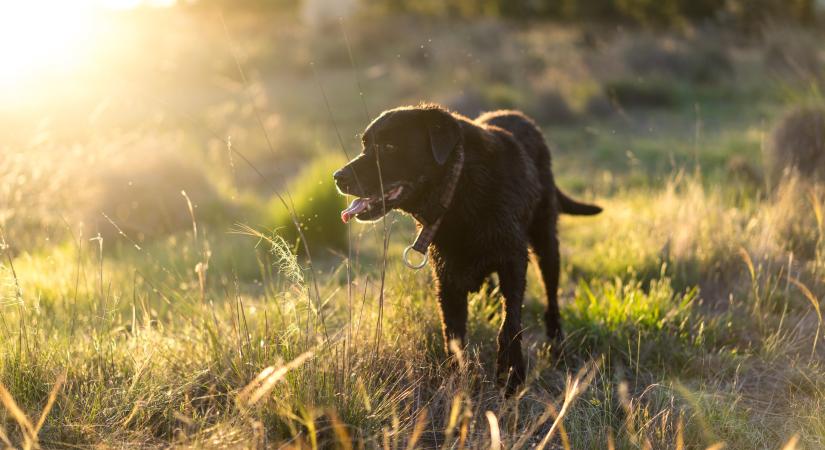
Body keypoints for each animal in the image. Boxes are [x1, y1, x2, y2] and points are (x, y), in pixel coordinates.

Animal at [334, 103, 600, 388]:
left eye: (389, 147)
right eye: (365, 145)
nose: (338, 177)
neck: (460, 188)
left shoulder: (514, 261)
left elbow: (510, 324)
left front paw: (511, 374)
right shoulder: (447, 279)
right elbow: (453, 337)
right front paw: (456, 384)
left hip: (546, 241)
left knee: (551, 297)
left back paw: (556, 344)